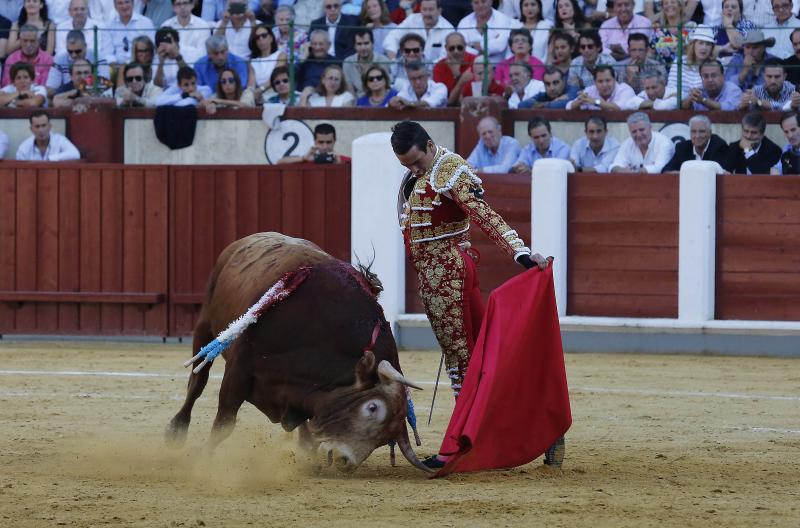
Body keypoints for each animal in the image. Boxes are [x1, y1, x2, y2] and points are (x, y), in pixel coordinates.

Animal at [164, 233, 432, 472]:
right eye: (372, 408)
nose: (346, 462)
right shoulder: (240, 366)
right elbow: (225, 422)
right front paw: (203, 461)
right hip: (206, 324)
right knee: (197, 381)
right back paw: (175, 431)